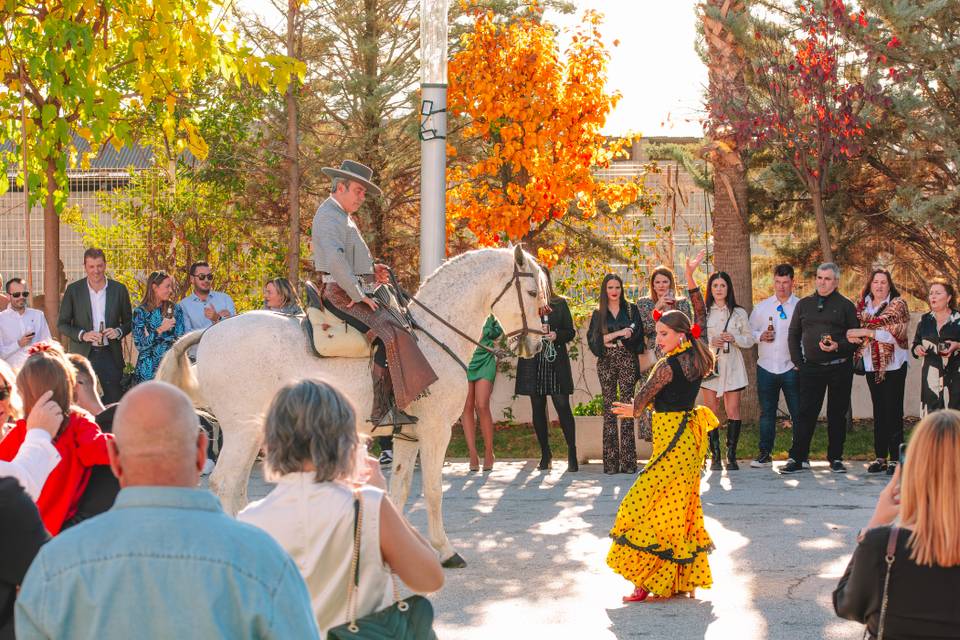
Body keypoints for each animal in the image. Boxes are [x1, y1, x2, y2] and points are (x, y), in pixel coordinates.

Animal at [161, 245, 544, 564]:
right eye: (531, 292)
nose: (538, 345)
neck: (433, 337)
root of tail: (210, 332)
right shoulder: (435, 432)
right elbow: (433, 491)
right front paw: (446, 551)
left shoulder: (408, 435)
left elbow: (400, 488)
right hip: (242, 432)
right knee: (224, 485)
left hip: (253, 432)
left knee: (237, 489)